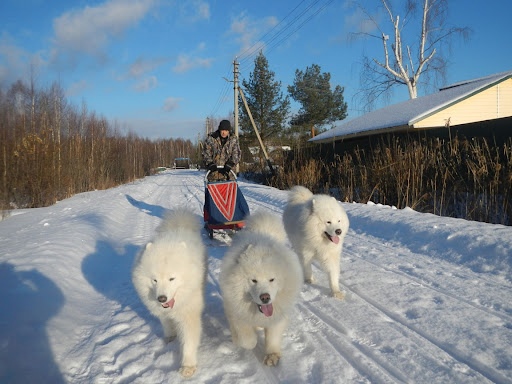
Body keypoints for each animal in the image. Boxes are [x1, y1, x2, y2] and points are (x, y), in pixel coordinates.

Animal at [131, 208, 207, 376]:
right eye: (154, 280)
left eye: (172, 278)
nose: (161, 298)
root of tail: (179, 225)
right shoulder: (162, 313)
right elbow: (167, 325)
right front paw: (170, 337)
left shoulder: (188, 315)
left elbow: (189, 342)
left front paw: (188, 366)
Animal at [218, 213, 302, 366]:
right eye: (254, 280)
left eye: (272, 279)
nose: (265, 297)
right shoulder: (236, 313)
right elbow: (247, 340)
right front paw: (243, 340)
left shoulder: (277, 316)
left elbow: (273, 337)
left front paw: (272, 356)